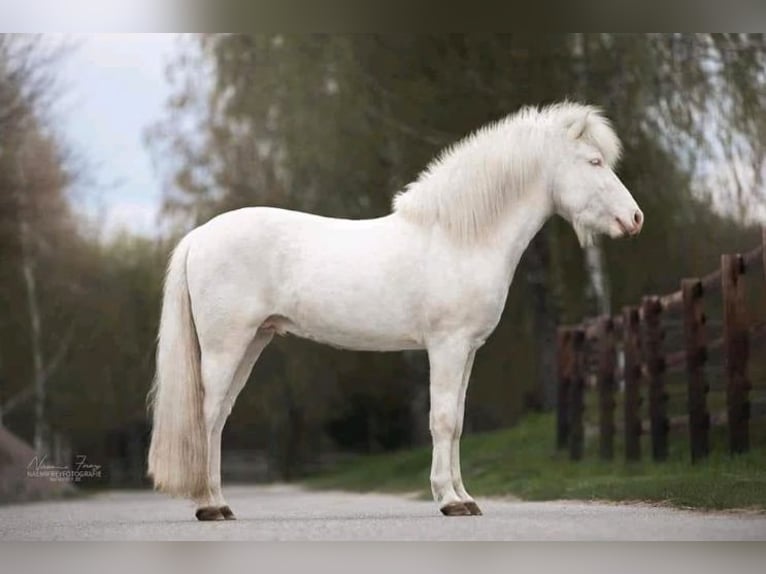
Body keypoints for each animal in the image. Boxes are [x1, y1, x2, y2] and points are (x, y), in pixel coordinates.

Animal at [147, 102, 644, 520]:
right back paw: (210, 507)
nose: (635, 219)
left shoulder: (467, 351)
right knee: (207, 417)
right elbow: (442, 420)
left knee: (218, 418)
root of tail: (198, 237)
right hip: (225, 347)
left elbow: (457, 423)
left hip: (253, 342)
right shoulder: (446, 346)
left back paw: (220, 504)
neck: (458, 237)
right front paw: (449, 501)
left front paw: (465, 497)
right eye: (594, 162)